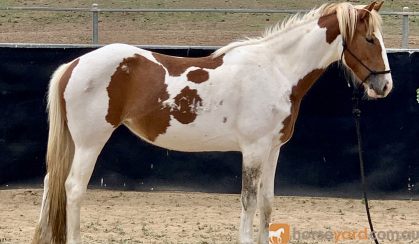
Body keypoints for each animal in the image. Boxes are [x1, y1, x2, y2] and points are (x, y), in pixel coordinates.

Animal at [32, 1, 394, 242]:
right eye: (370, 39)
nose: (385, 86)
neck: (276, 70)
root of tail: (74, 64)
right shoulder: (253, 151)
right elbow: (248, 202)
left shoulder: (272, 150)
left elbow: (266, 205)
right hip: (90, 142)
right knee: (73, 188)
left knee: (53, 184)